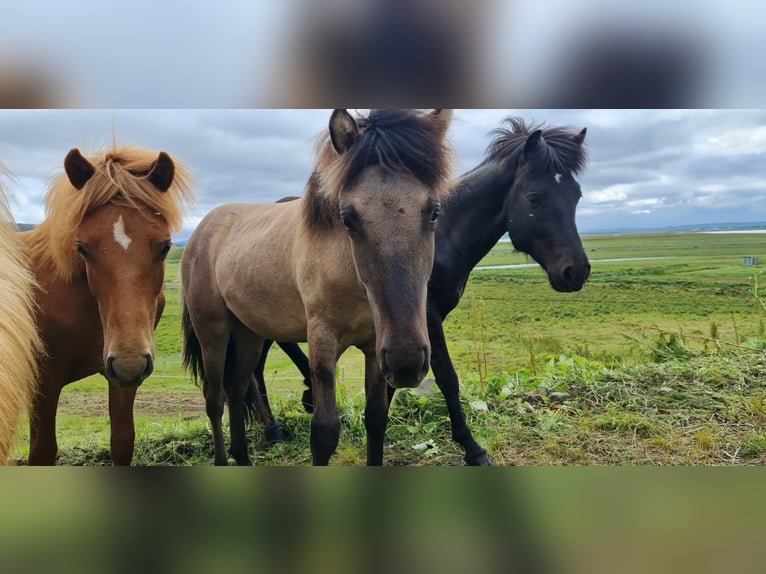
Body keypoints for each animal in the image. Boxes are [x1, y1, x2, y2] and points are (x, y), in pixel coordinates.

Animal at [23, 146, 195, 466]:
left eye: (165, 246)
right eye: (82, 247)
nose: (128, 361)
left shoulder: (123, 379)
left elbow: (122, 440)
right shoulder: (43, 387)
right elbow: (42, 451)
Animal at [182, 109, 452, 468]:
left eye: (435, 212)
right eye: (348, 218)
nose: (406, 361)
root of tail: (201, 229)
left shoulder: (375, 349)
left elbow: (376, 419)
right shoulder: (321, 342)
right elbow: (324, 433)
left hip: (249, 333)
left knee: (237, 389)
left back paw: (242, 456)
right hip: (212, 332)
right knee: (214, 397)